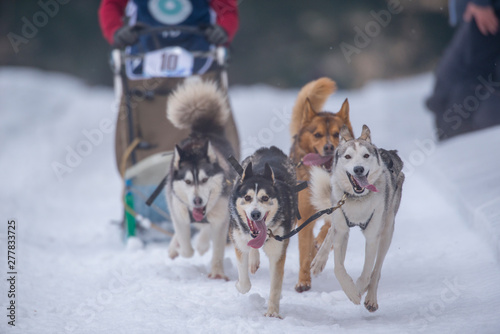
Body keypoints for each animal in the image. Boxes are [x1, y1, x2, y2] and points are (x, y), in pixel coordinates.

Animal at [164, 79, 234, 280]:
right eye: (188, 182)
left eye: (204, 180)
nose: (197, 200)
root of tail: (203, 131)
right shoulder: (177, 212)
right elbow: (186, 245)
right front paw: (181, 248)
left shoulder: (222, 219)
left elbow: (217, 249)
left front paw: (217, 273)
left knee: (205, 230)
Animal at [230, 147, 296, 318]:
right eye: (247, 197)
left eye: (265, 198)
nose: (255, 214)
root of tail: (271, 149)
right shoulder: (239, 242)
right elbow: (244, 283)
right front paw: (239, 284)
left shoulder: (278, 251)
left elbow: (275, 285)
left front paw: (272, 312)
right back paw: (253, 261)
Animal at [288, 77, 354, 292]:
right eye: (317, 135)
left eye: (336, 134)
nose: (329, 147)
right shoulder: (305, 215)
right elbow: (304, 252)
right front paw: (303, 281)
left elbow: (327, 229)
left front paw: (319, 243)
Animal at [310, 125, 404, 314]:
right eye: (348, 157)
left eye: (366, 155)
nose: (358, 169)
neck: (357, 200)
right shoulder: (341, 231)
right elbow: (338, 268)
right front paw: (351, 291)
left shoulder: (373, 236)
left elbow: (368, 271)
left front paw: (359, 288)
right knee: (331, 232)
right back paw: (319, 261)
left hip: (387, 231)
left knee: (377, 269)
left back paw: (371, 297)